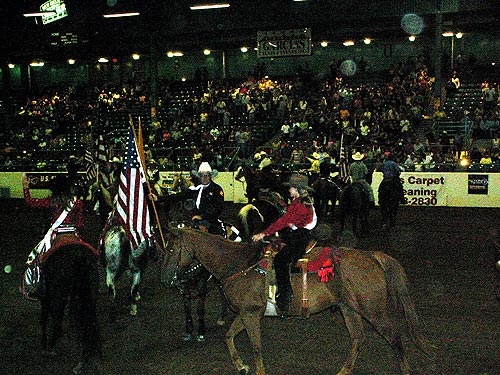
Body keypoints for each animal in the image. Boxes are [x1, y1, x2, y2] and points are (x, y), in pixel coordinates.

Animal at [36, 234, 101, 374]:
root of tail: (79, 258)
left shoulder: (46, 296)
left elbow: (44, 319)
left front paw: (44, 346)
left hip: (58, 297)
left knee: (58, 325)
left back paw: (50, 349)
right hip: (88, 297)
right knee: (87, 324)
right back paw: (81, 361)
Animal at [162, 228, 436, 375]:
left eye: (172, 249)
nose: (166, 279)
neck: (240, 265)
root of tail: (373, 256)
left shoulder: (250, 314)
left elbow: (256, 346)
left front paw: (256, 369)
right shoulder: (246, 313)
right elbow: (229, 336)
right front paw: (241, 366)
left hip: (373, 311)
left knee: (394, 336)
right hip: (349, 309)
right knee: (358, 338)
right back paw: (344, 370)